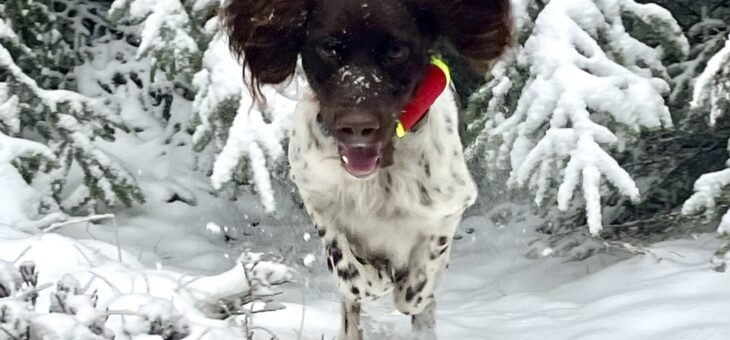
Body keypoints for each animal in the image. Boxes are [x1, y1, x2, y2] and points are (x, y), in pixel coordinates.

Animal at [219, 1, 510, 338]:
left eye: (396, 50)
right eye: (329, 48)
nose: (357, 127)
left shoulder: (449, 207)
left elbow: (416, 290)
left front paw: (410, 286)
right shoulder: (316, 198)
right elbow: (352, 275)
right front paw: (374, 276)